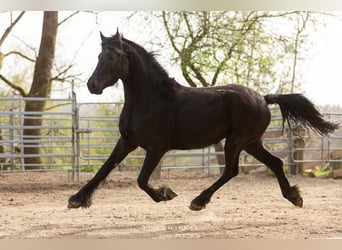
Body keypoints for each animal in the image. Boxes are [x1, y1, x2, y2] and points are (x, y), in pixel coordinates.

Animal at [68, 29, 338, 210]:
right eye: (99, 56)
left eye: (114, 56)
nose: (92, 85)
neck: (151, 98)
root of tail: (262, 98)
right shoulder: (127, 141)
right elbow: (104, 169)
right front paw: (76, 199)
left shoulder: (157, 147)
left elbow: (142, 180)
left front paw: (165, 194)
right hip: (251, 143)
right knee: (275, 163)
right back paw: (294, 196)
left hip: (236, 141)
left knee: (231, 170)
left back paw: (198, 201)